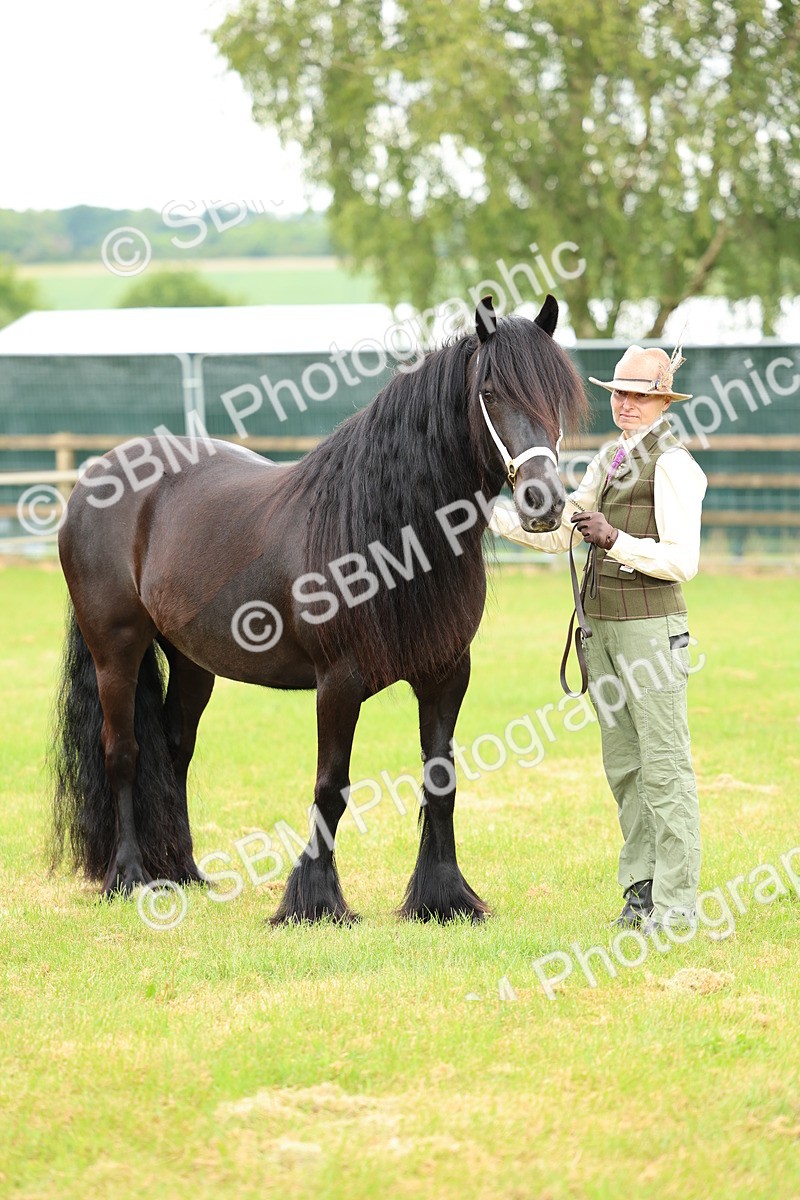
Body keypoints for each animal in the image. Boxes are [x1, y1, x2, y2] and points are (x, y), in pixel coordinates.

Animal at [51, 295, 586, 923]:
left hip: (191, 661)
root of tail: (97, 474)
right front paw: (313, 902)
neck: (389, 532)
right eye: (492, 392)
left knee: (176, 750)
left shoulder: (446, 674)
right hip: (116, 649)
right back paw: (130, 877)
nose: (544, 503)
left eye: (558, 397)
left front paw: (443, 897)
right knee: (124, 752)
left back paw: (182, 873)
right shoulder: (339, 682)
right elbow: (331, 786)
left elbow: (441, 779)